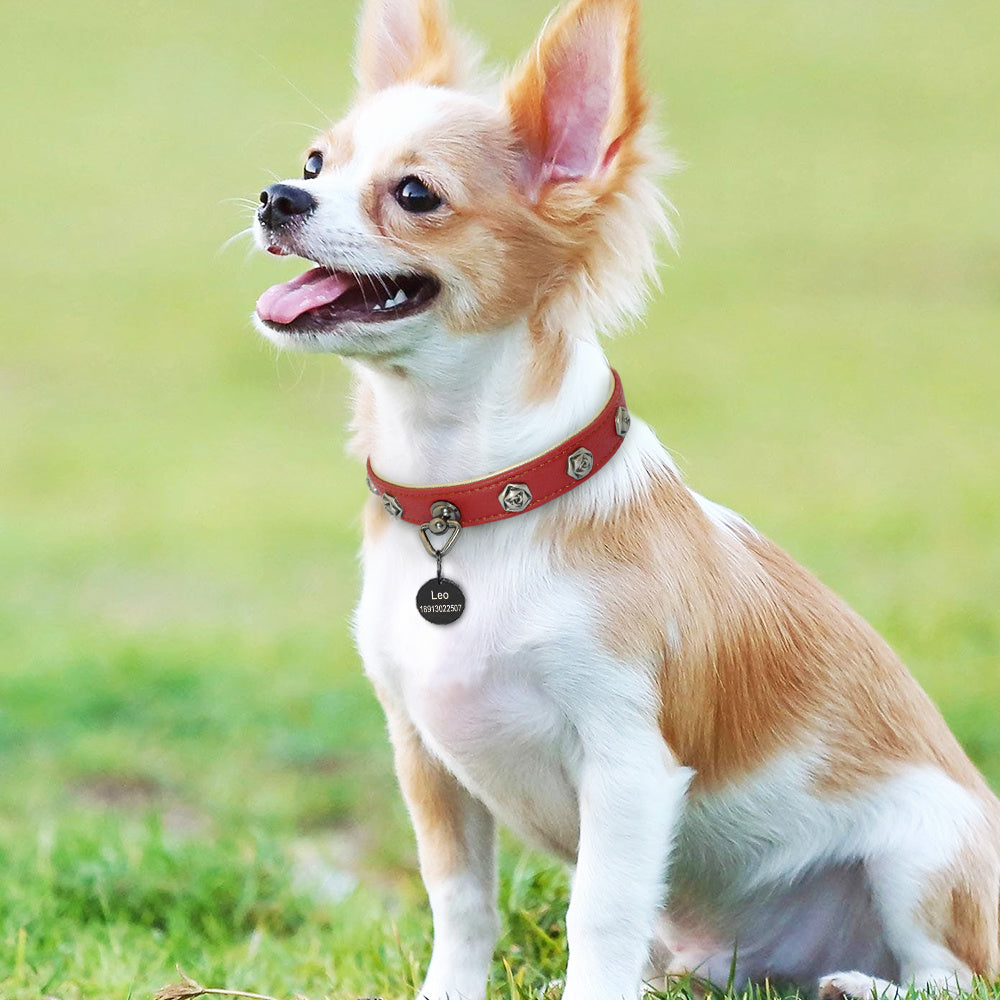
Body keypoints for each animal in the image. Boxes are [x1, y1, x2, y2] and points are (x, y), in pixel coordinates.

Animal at [252, 1, 1000, 1000]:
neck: (472, 503)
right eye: (313, 165)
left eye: (415, 194)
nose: (275, 199)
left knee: (952, 974)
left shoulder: (628, 766)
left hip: (923, 852)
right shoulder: (423, 754)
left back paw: (860, 983)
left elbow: (596, 915)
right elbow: (460, 903)